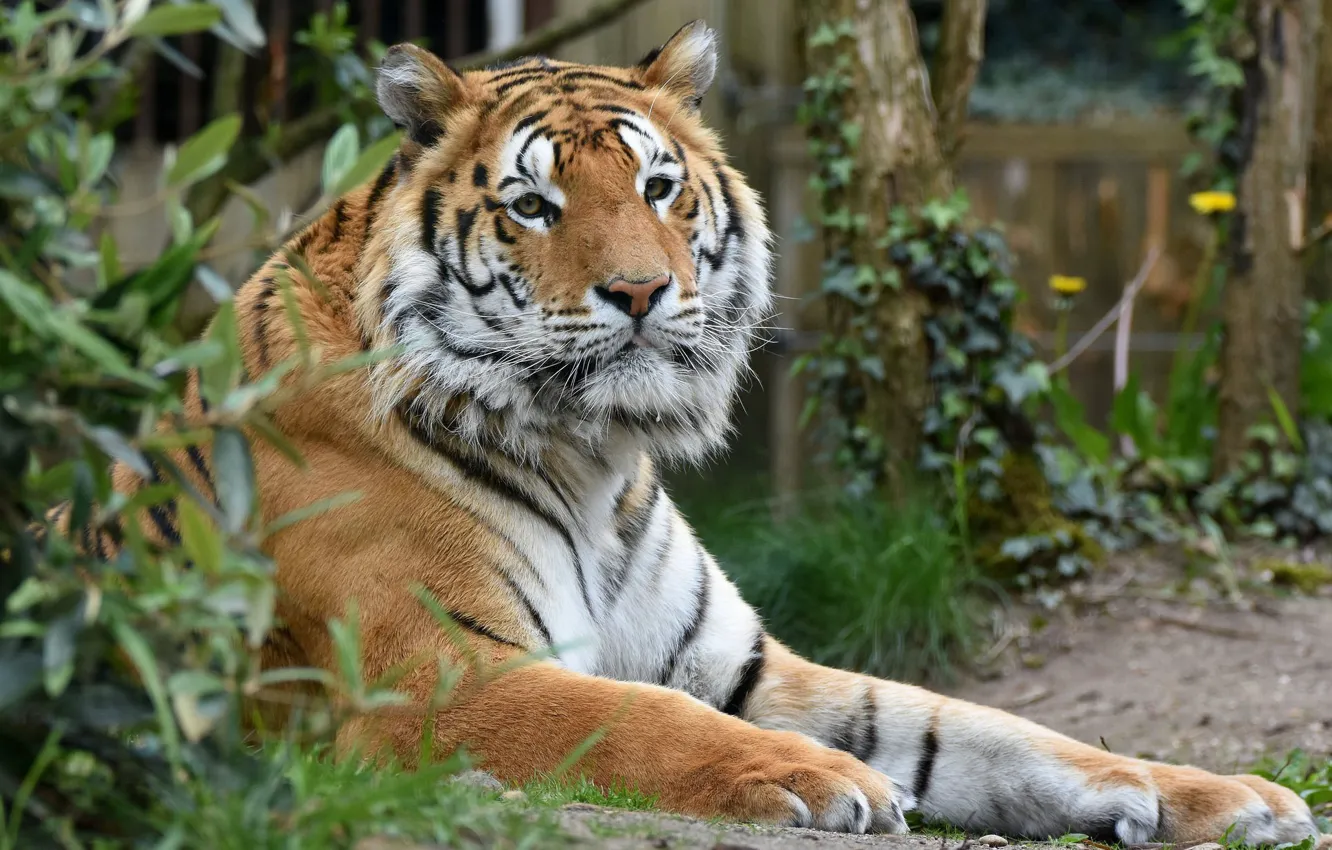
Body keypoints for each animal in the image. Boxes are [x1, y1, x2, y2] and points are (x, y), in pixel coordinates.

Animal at [96, 21, 1323, 844]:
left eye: (657, 186)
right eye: (533, 206)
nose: (641, 292)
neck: (591, 452)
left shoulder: (741, 662)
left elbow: (991, 727)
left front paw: (1217, 792)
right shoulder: (440, 676)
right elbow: (643, 722)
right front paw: (828, 781)